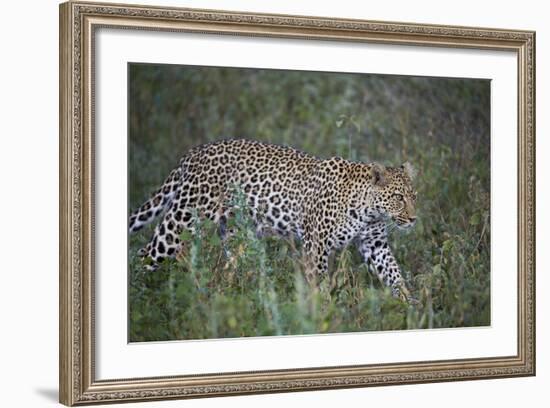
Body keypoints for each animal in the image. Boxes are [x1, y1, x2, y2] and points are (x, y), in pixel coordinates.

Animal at [129, 139, 418, 300]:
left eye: (414, 195)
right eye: (398, 197)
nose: (414, 219)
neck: (368, 212)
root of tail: (192, 153)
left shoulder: (375, 244)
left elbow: (394, 273)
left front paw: (410, 305)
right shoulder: (316, 246)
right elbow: (320, 284)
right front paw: (324, 311)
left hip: (233, 234)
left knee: (225, 269)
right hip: (180, 223)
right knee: (145, 254)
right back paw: (142, 301)